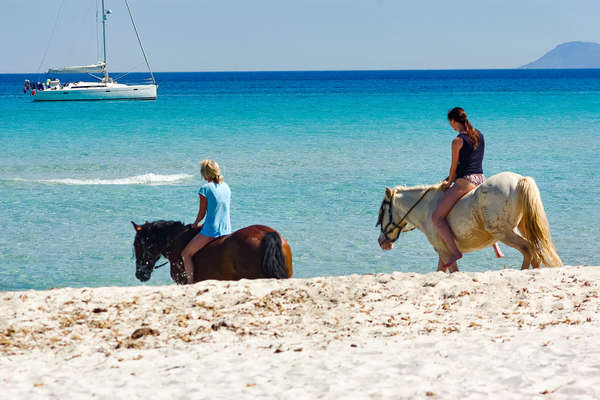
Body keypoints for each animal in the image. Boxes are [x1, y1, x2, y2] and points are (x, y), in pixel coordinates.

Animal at [378, 172, 564, 272]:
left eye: (381, 212)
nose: (381, 242)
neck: (427, 207)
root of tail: (519, 179)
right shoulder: (442, 253)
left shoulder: (446, 252)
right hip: (520, 227)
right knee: (535, 251)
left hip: (503, 233)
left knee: (528, 249)